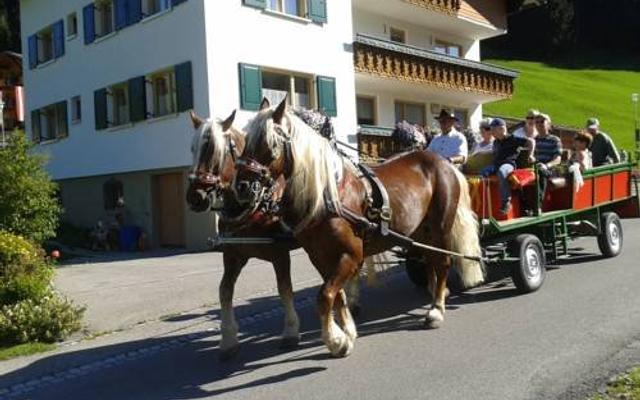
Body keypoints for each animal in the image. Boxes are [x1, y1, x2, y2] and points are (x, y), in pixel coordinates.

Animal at [232, 98, 482, 358]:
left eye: (269, 143)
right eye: (246, 140)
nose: (241, 187)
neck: (329, 195)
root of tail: (444, 164)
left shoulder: (350, 254)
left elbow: (324, 296)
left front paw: (335, 340)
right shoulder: (320, 257)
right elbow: (337, 296)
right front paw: (347, 334)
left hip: (441, 226)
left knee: (442, 262)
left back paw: (436, 310)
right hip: (420, 231)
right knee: (428, 259)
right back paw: (435, 293)